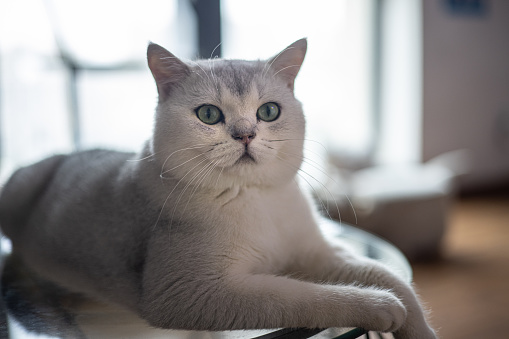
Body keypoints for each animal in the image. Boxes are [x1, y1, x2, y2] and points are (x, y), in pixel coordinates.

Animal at [0, 38, 436, 338]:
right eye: (209, 115)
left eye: (268, 111)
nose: (245, 135)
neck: (258, 201)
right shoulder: (192, 292)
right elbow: (304, 296)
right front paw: (379, 306)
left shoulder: (319, 253)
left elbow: (391, 277)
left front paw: (417, 326)